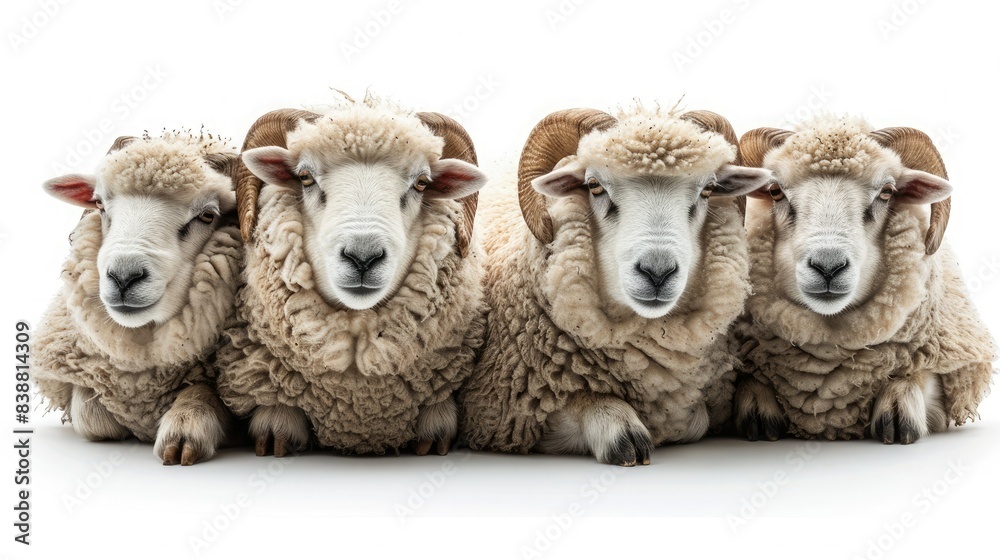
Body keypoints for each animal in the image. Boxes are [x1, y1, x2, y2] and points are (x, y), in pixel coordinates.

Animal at [34, 132, 242, 465]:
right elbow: (91, 416)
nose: (123, 277)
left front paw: (188, 426)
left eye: (208, 215)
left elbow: (202, 394)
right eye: (99, 204)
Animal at [457, 105, 775, 466]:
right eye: (594, 186)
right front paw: (620, 426)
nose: (657, 272)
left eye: (708, 189)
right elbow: (585, 399)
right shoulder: (503, 411)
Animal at [732, 115, 997, 443]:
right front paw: (756, 404)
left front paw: (897, 406)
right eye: (774, 191)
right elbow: (748, 376)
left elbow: (919, 375)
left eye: (887, 192)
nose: (828, 266)